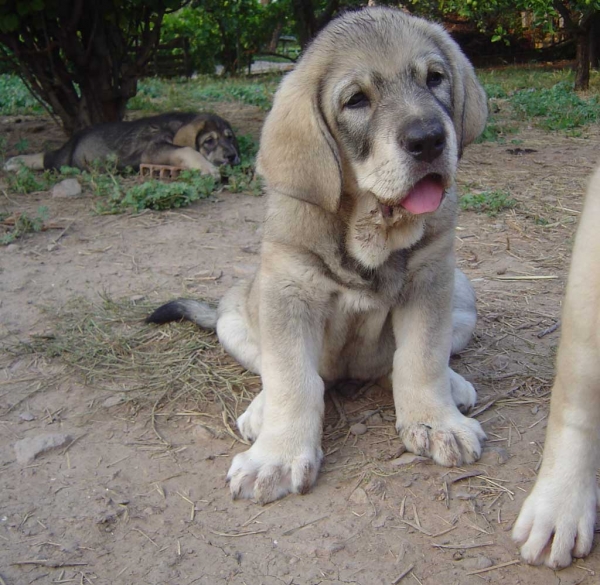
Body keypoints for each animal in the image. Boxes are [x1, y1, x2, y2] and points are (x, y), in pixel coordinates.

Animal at [4, 112, 240, 178]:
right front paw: (208, 168)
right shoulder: (153, 150)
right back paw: (14, 162)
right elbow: (187, 149)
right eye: (209, 141)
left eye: (229, 138)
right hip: (65, 160)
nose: (232, 156)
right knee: (46, 157)